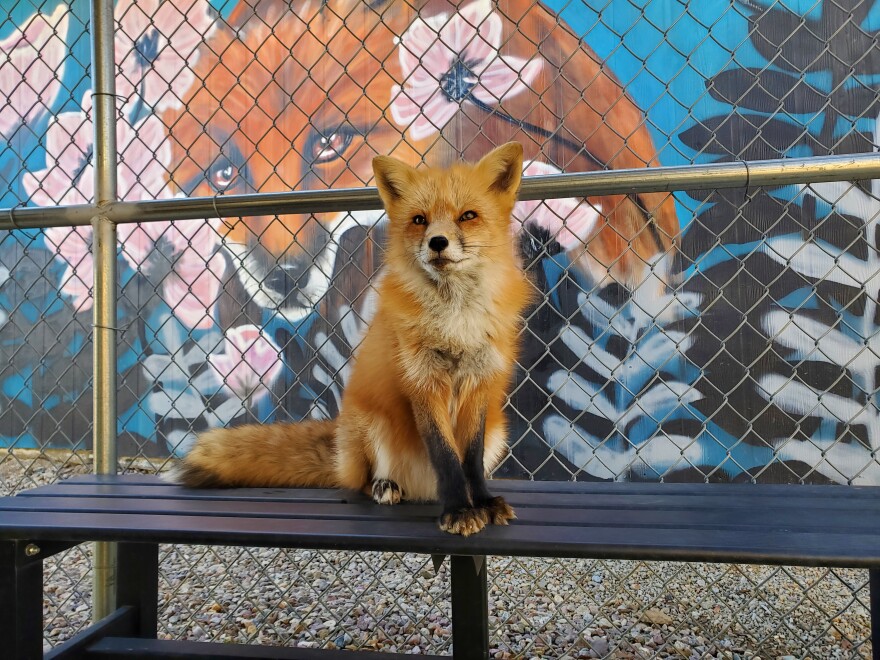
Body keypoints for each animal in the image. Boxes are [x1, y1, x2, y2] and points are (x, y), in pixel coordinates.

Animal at [173, 144, 528, 536]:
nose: (438, 242)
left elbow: (470, 460)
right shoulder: (422, 383)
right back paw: (384, 486)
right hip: (372, 422)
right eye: (420, 220)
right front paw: (459, 510)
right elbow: (446, 456)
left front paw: (481, 502)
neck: (454, 322)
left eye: (467, 216)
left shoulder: (479, 384)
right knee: (361, 481)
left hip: (498, 430)